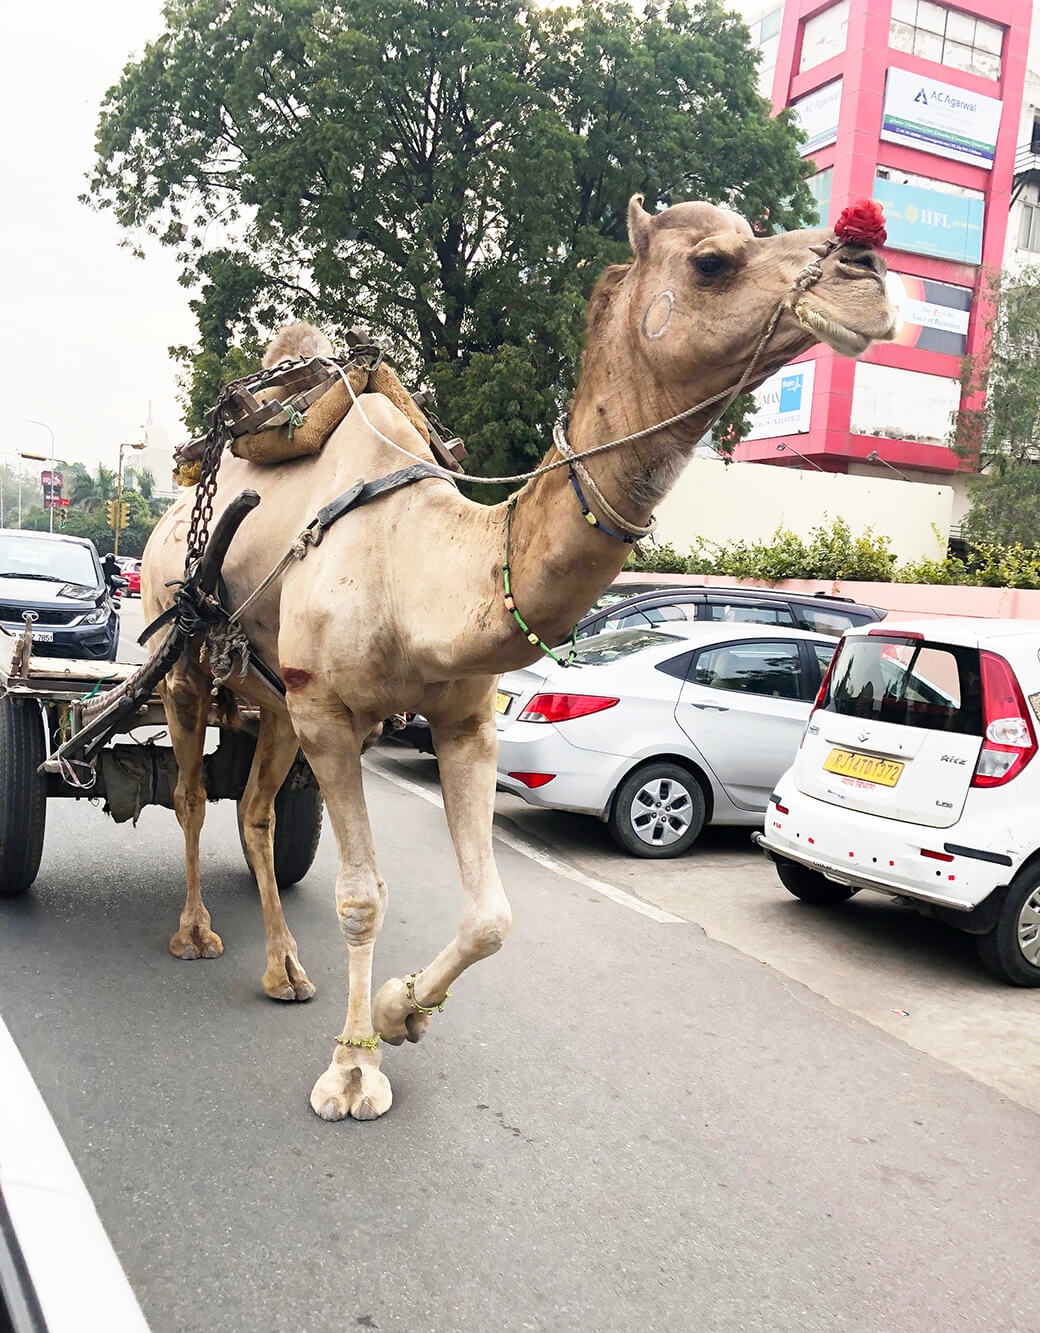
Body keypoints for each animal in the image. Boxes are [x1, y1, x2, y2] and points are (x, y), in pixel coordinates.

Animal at [142, 193, 896, 1119]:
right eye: (713, 261)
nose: (868, 271)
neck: (416, 565)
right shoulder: (331, 712)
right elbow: (361, 896)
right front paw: (352, 1071)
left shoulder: (461, 718)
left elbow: (493, 915)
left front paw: (399, 1012)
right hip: (185, 661)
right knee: (187, 792)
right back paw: (196, 934)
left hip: (275, 693)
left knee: (252, 810)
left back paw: (285, 971)